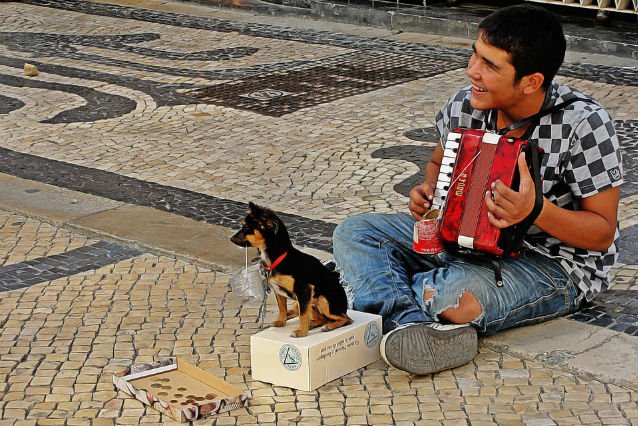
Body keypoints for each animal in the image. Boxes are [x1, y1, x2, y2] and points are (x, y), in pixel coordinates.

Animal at [231, 201, 356, 338]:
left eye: (246, 227)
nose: (231, 239)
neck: (279, 258)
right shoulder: (279, 291)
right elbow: (282, 308)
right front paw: (281, 321)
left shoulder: (304, 290)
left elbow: (303, 314)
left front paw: (301, 332)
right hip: (307, 302)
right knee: (320, 318)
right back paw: (312, 324)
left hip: (322, 300)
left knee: (346, 319)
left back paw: (329, 326)